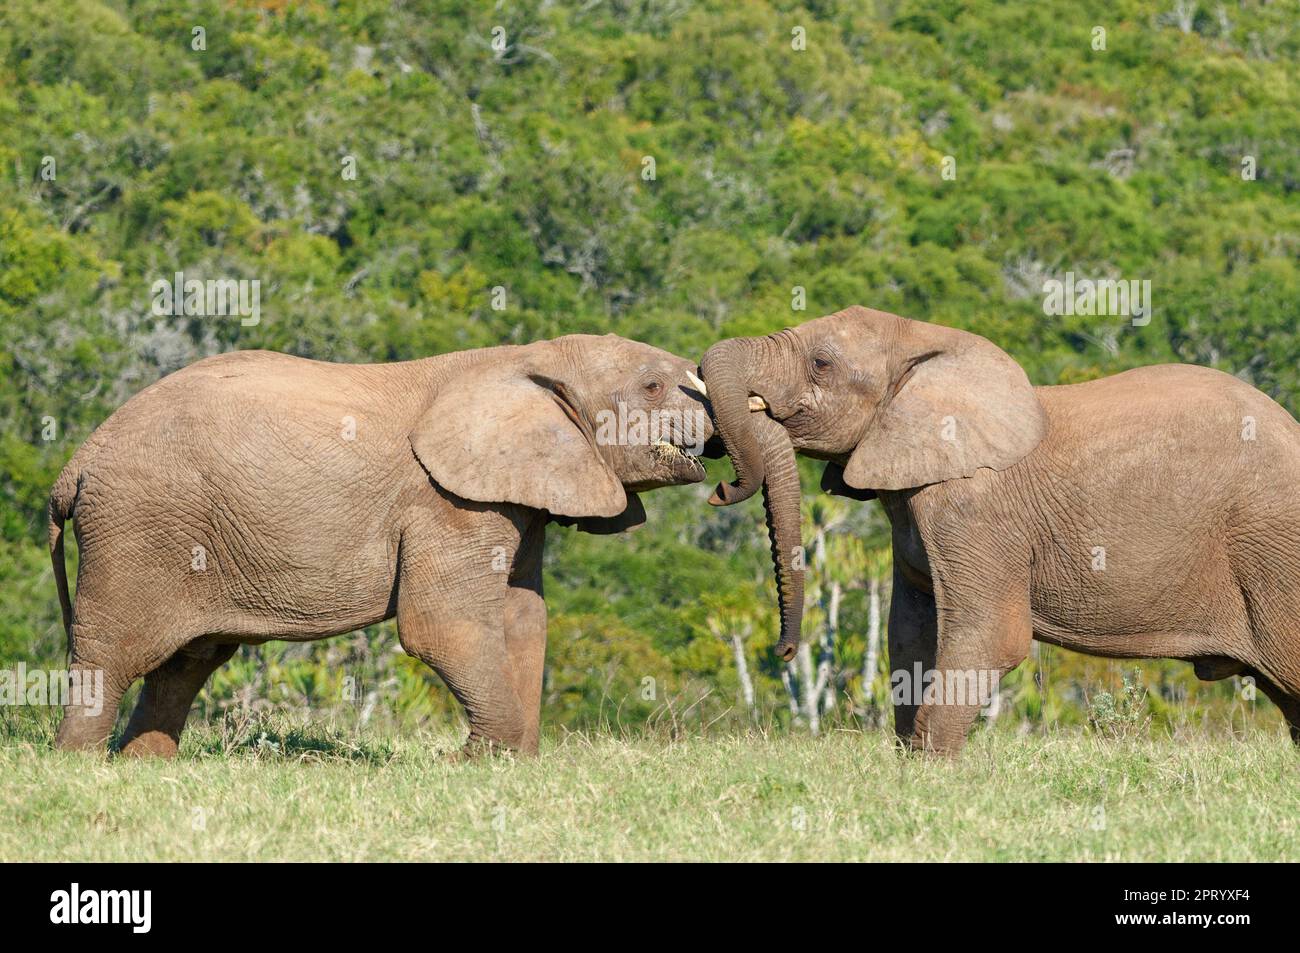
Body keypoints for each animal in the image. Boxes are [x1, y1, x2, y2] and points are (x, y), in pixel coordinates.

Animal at [50, 335, 717, 759]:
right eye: (653, 386)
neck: (529, 357)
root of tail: (75, 464)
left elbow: (526, 616)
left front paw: (517, 766)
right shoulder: (446, 502)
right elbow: (443, 625)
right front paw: (473, 764)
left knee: (188, 662)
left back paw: (145, 765)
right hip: (137, 527)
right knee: (116, 652)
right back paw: (80, 765)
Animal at [702, 304, 1300, 748]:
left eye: (822, 362)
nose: (782, 652)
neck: (924, 339)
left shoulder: (975, 510)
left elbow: (988, 637)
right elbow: (909, 635)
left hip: (1272, 550)